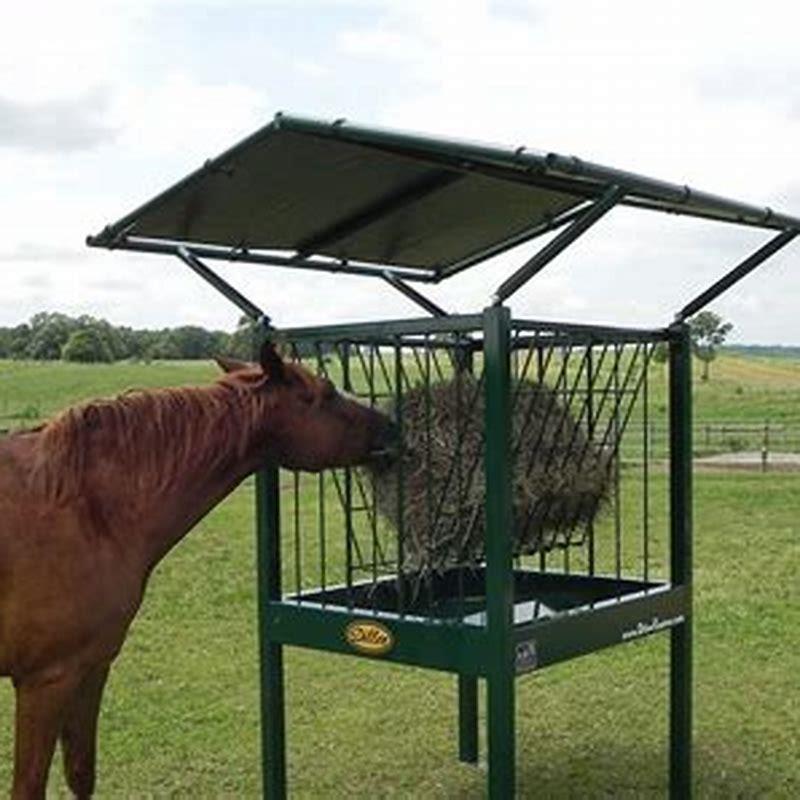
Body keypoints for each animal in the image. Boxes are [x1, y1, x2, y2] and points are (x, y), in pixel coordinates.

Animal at [0, 344, 394, 800]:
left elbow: (81, 773)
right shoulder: (46, 680)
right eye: (325, 394)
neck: (87, 509)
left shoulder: (91, 667)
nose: (394, 426)